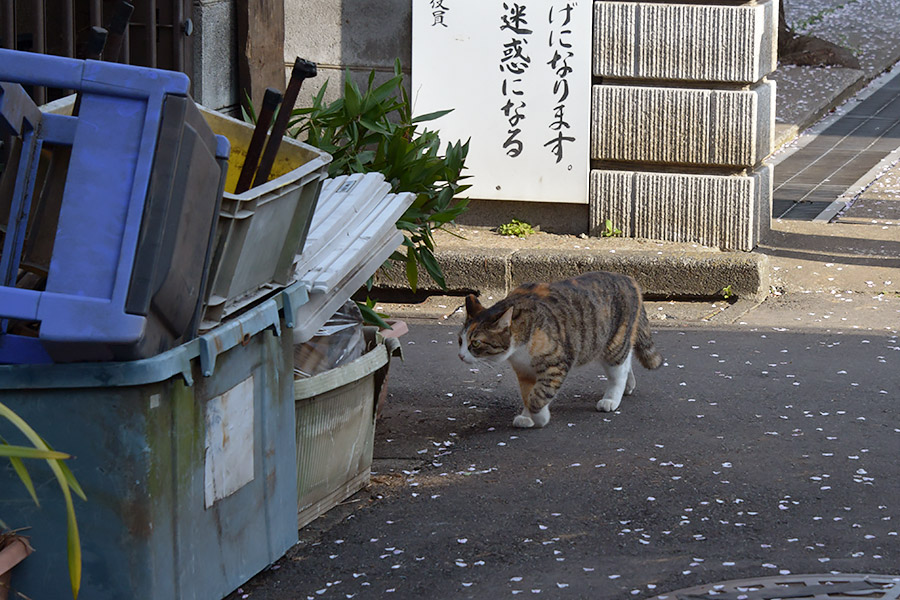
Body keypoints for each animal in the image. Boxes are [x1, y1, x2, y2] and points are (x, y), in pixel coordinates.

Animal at [458, 270, 660, 428]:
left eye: (476, 343)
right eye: (460, 340)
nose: (460, 356)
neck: (519, 349)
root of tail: (628, 279)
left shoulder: (557, 364)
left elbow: (538, 395)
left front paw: (540, 418)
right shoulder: (524, 371)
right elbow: (527, 394)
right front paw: (527, 416)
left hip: (614, 342)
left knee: (618, 371)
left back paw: (611, 398)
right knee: (626, 361)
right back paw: (629, 385)